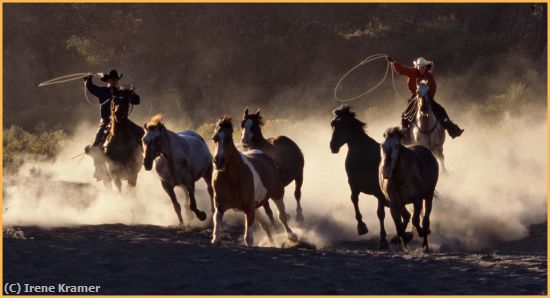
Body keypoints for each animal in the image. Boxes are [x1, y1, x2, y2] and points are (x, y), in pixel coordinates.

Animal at [211, 117, 298, 247]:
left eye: (229, 139)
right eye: (214, 138)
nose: (219, 161)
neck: (233, 179)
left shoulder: (249, 207)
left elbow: (249, 239)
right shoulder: (220, 205)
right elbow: (217, 224)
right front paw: (216, 238)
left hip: (277, 195)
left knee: (282, 217)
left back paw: (292, 236)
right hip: (256, 206)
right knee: (265, 224)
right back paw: (272, 243)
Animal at [330, 105, 408, 249]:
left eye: (344, 125)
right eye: (332, 124)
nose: (333, 146)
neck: (363, 156)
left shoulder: (379, 193)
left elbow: (380, 214)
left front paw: (382, 239)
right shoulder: (354, 186)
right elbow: (354, 200)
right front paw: (361, 227)